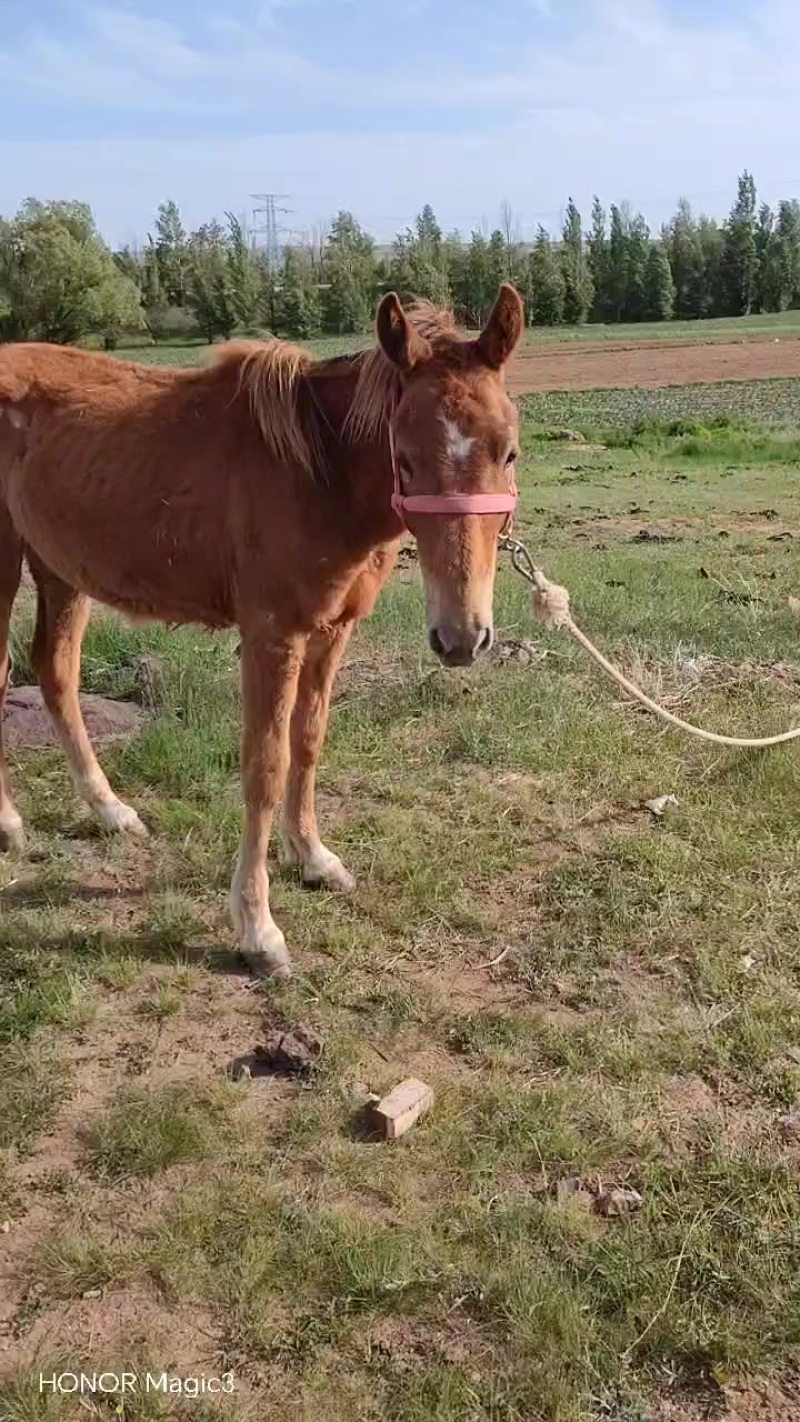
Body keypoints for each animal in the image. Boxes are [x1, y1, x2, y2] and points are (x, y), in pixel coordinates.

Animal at [0, 283, 525, 979]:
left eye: (509, 452)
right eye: (406, 460)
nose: (462, 638)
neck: (315, 473)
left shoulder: (332, 632)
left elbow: (308, 741)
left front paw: (315, 858)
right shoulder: (272, 636)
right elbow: (266, 766)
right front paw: (257, 928)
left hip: (60, 569)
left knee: (56, 672)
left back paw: (110, 810)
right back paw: (9, 822)